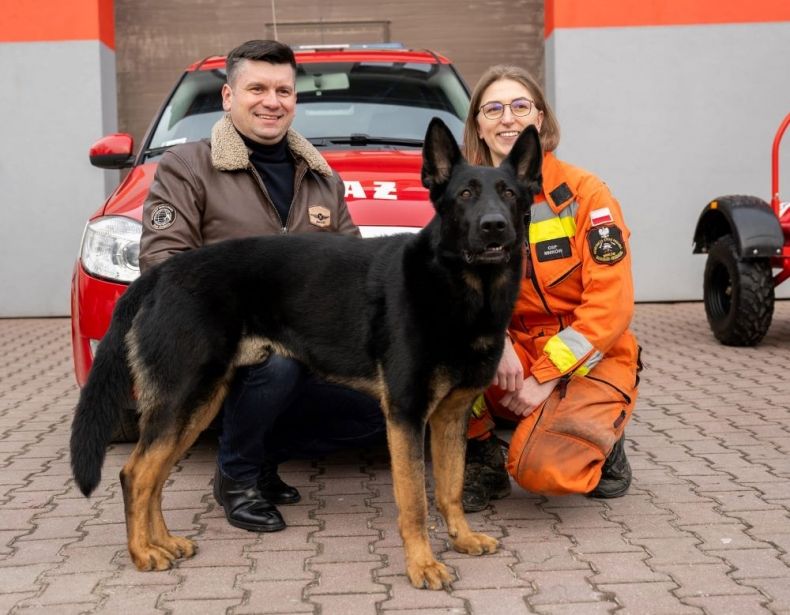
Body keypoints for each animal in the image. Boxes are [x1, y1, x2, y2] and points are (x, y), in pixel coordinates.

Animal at [69, 118, 544, 588]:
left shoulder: (450, 416)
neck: (458, 287)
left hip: (198, 406)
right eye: (465, 194)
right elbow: (415, 502)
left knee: (154, 474)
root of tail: (160, 273)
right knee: (135, 474)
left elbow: (449, 488)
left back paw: (164, 541)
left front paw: (461, 538)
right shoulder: (406, 416)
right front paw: (422, 565)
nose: (494, 226)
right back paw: (142, 552)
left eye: (509, 193)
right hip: (182, 401)